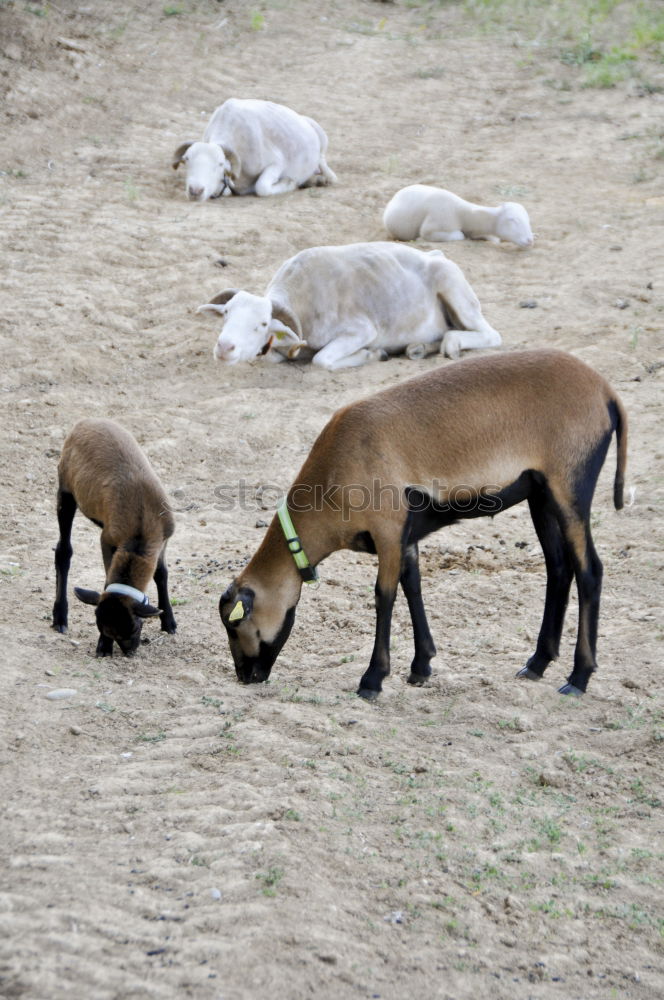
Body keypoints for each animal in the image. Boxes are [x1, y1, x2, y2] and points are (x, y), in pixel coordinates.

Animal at [52, 420, 176, 656]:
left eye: (136, 626)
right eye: (102, 628)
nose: (130, 652)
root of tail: (85, 422)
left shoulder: (164, 539)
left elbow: (161, 574)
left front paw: (169, 622)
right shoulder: (108, 540)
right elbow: (108, 581)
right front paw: (103, 647)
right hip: (66, 489)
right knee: (64, 551)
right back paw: (60, 618)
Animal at [172, 98, 338, 201]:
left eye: (220, 164)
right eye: (186, 160)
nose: (195, 191)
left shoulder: (277, 164)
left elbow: (262, 187)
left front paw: (289, 183)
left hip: (322, 145)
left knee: (328, 170)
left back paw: (323, 179)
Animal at [196, 240, 498, 370]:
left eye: (262, 324)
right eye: (226, 314)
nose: (224, 348)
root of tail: (435, 253)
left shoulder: (361, 331)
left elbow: (322, 360)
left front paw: (371, 355)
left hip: (454, 288)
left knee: (490, 335)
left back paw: (452, 343)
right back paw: (419, 348)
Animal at [219, 354, 628, 704]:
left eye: (235, 626)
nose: (245, 676)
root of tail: (605, 391)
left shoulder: (388, 529)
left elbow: (384, 596)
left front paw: (372, 680)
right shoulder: (406, 534)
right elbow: (412, 585)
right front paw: (421, 667)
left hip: (570, 486)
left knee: (589, 571)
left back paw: (578, 677)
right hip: (540, 494)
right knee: (558, 568)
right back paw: (537, 663)